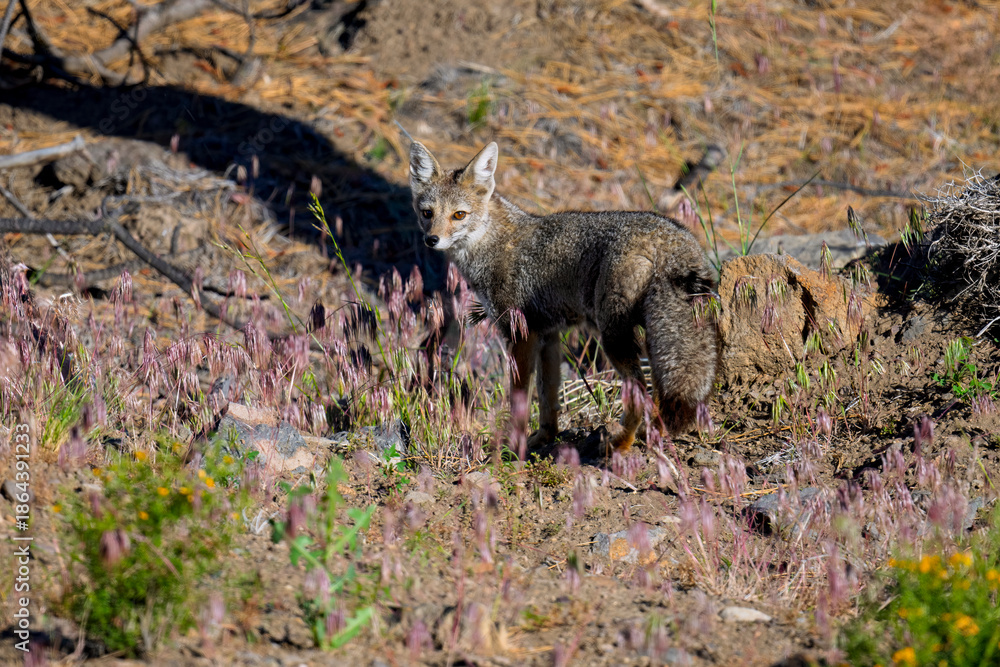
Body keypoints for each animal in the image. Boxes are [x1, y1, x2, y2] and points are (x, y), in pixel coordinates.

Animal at [409, 140, 719, 453]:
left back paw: (621, 443)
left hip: (613, 339)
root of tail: (671, 235)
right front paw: (543, 439)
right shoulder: (548, 335)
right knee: (654, 394)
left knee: (640, 392)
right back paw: (652, 434)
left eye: (458, 215)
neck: (492, 243)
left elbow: (520, 400)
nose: (431, 240)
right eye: (427, 213)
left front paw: (514, 447)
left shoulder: (521, 335)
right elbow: (548, 398)